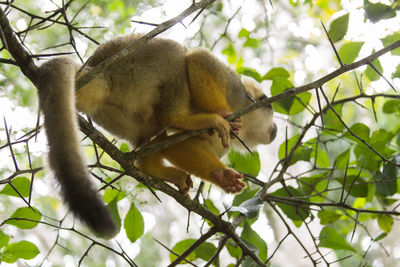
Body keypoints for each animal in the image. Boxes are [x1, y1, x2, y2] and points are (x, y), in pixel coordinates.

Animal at [36, 33, 276, 239]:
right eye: (268, 106)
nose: (274, 132)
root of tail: (97, 70)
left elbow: (175, 147)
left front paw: (220, 175)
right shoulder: (235, 90)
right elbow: (198, 58)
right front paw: (221, 112)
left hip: (113, 111)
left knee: (153, 128)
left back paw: (152, 167)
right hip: (131, 69)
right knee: (178, 55)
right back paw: (182, 118)